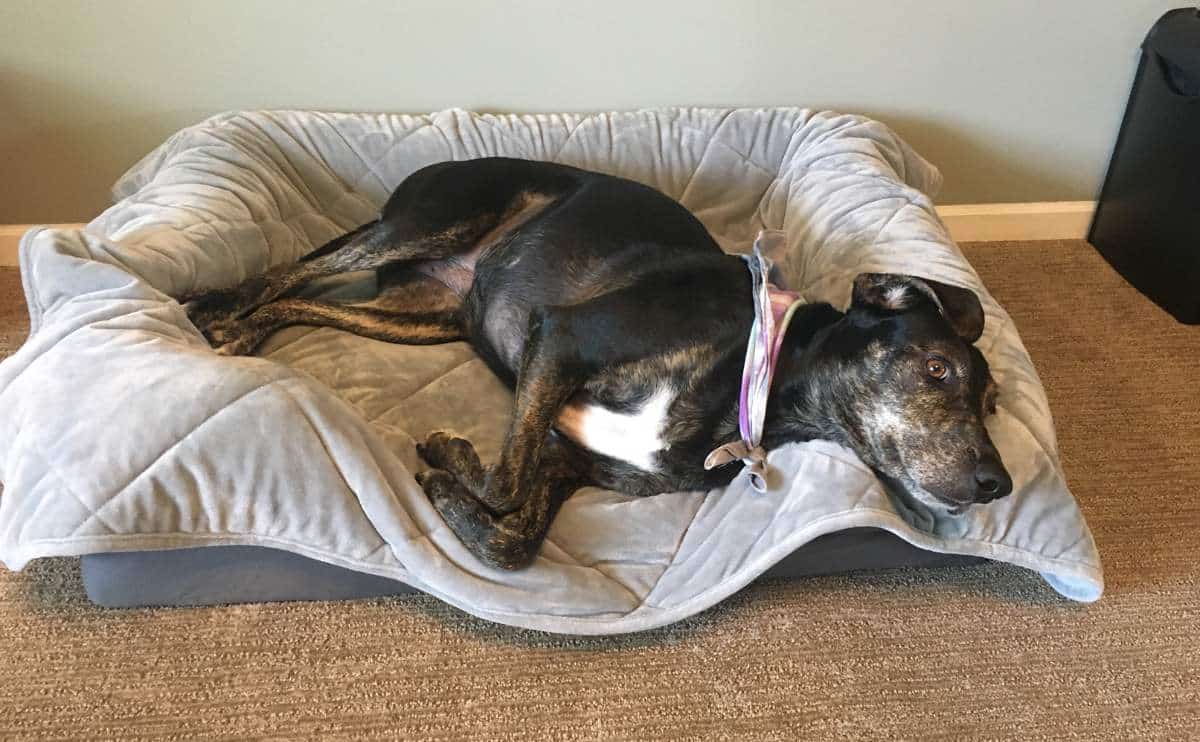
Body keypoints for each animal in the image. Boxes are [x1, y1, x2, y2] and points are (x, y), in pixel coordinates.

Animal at [184, 157, 1012, 566]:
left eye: (994, 403)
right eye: (937, 369)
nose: (996, 483)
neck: (754, 380)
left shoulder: (570, 461)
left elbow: (513, 536)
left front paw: (451, 474)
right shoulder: (562, 339)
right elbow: (504, 483)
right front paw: (448, 465)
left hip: (427, 314)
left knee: (307, 301)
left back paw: (243, 332)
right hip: (434, 218)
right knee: (293, 267)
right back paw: (218, 310)